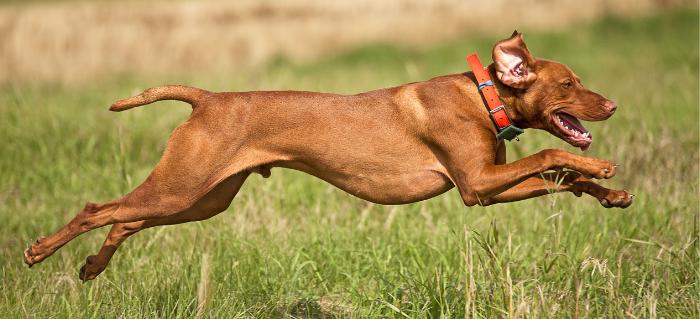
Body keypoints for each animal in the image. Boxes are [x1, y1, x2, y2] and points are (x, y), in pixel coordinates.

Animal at [23, 32, 636, 282]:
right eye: (569, 83)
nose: (611, 104)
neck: (483, 97)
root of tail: (209, 98)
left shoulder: (485, 189)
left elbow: (561, 174)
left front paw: (611, 192)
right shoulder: (478, 181)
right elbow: (554, 152)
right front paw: (603, 167)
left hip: (200, 199)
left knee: (125, 220)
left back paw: (92, 267)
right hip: (183, 186)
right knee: (99, 209)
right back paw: (39, 251)